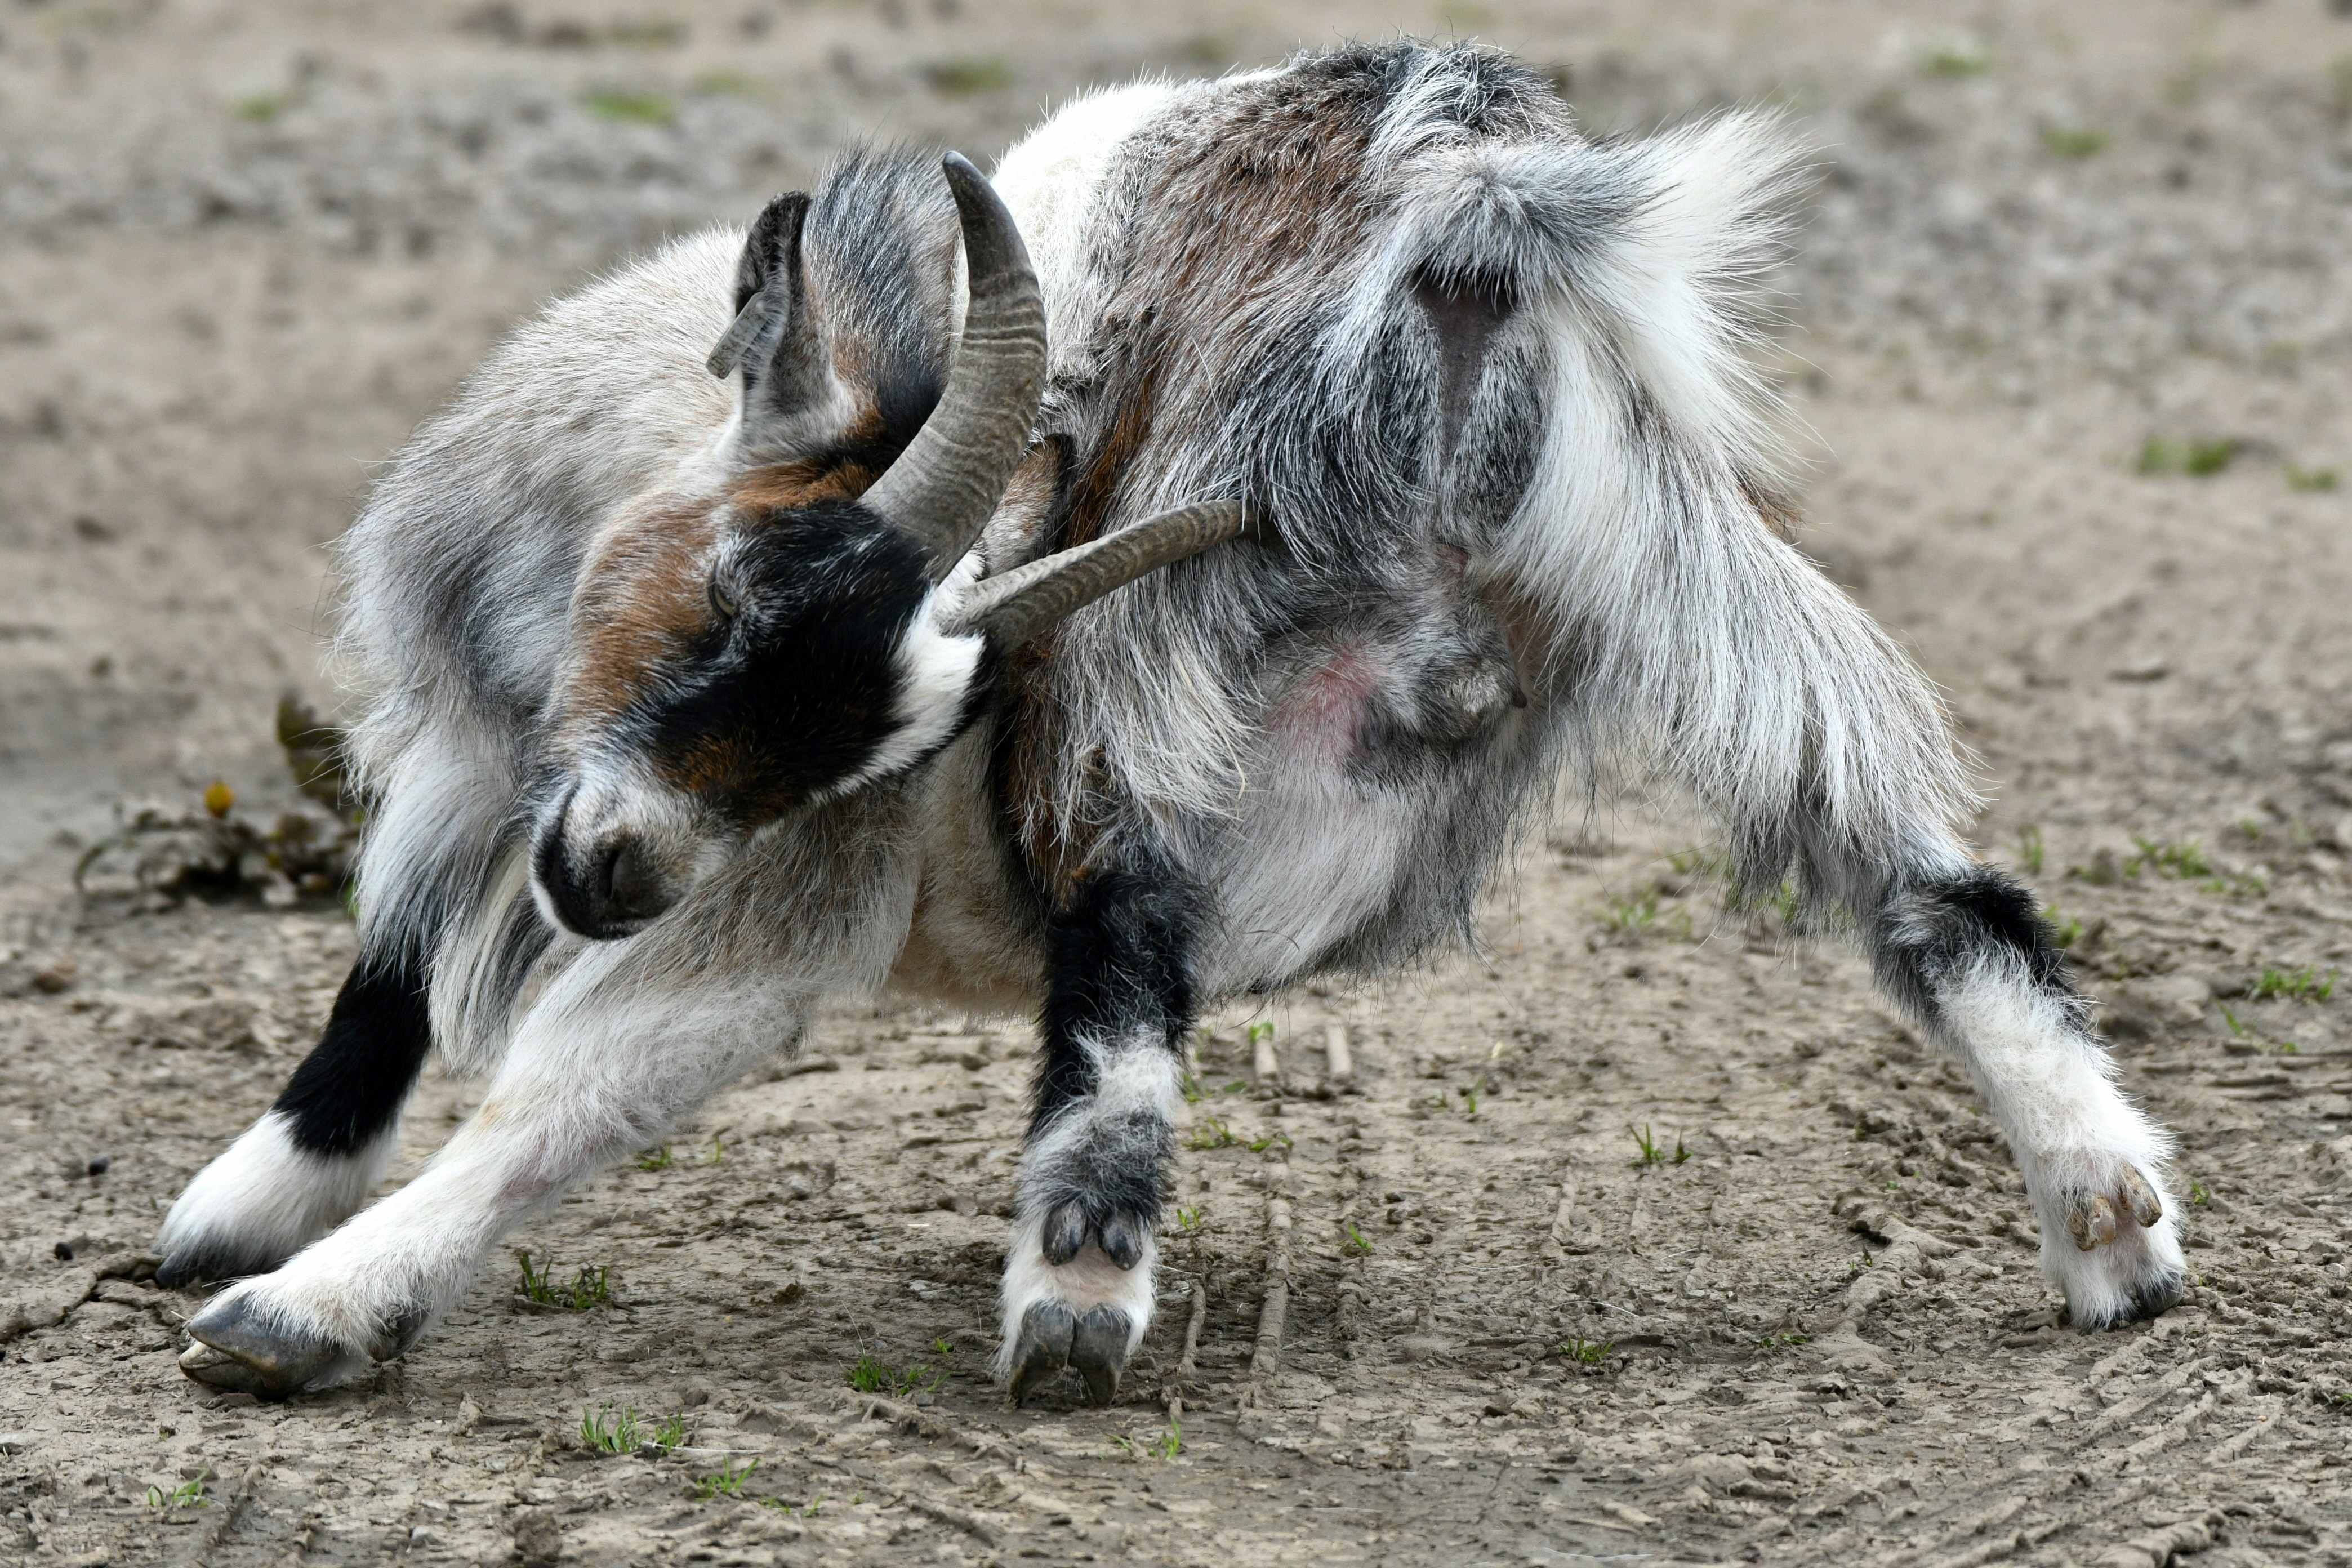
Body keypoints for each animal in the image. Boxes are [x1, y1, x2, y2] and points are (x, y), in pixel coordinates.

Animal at [156, 39, 2173, 1410]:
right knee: (1932, 881)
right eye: (731, 599)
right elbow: (390, 975)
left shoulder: (764, 880)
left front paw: (291, 1304)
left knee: (1126, 940)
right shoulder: (483, 757)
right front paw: (248, 1212)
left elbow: (564, 1081)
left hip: (1179, 597)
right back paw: (2116, 1228)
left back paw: (1073, 1294)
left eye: (882, 741)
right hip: (1669, 548)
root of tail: (1456, 215)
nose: (614, 874)